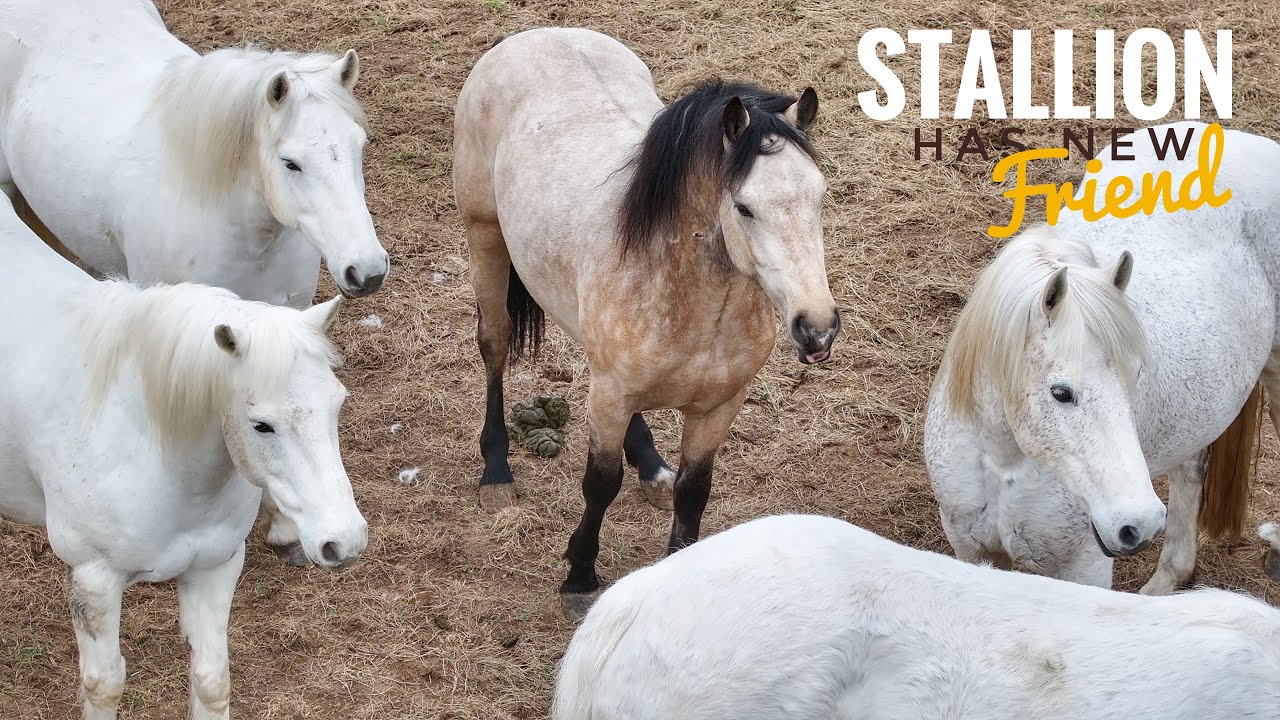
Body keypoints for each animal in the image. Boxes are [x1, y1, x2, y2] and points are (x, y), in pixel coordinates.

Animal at [0, 196, 367, 720]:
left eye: (337, 403)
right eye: (261, 425)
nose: (345, 541)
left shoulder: (214, 567)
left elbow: (212, 680)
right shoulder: (94, 579)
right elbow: (104, 684)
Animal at [453, 28, 839, 618]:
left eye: (819, 197)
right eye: (745, 208)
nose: (816, 328)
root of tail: (535, 35)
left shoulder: (716, 408)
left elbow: (693, 492)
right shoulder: (610, 395)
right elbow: (600, 483)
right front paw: (580, 578)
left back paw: (651, 465)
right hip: (484, 235)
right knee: (494, 346)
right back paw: (496, 470)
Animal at [925, 121, 1280, 593]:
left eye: (1136, 378)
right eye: (1061, 393)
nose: (1140, 524)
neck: (1002, 461)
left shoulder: (1083, 569)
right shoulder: (970, 549)